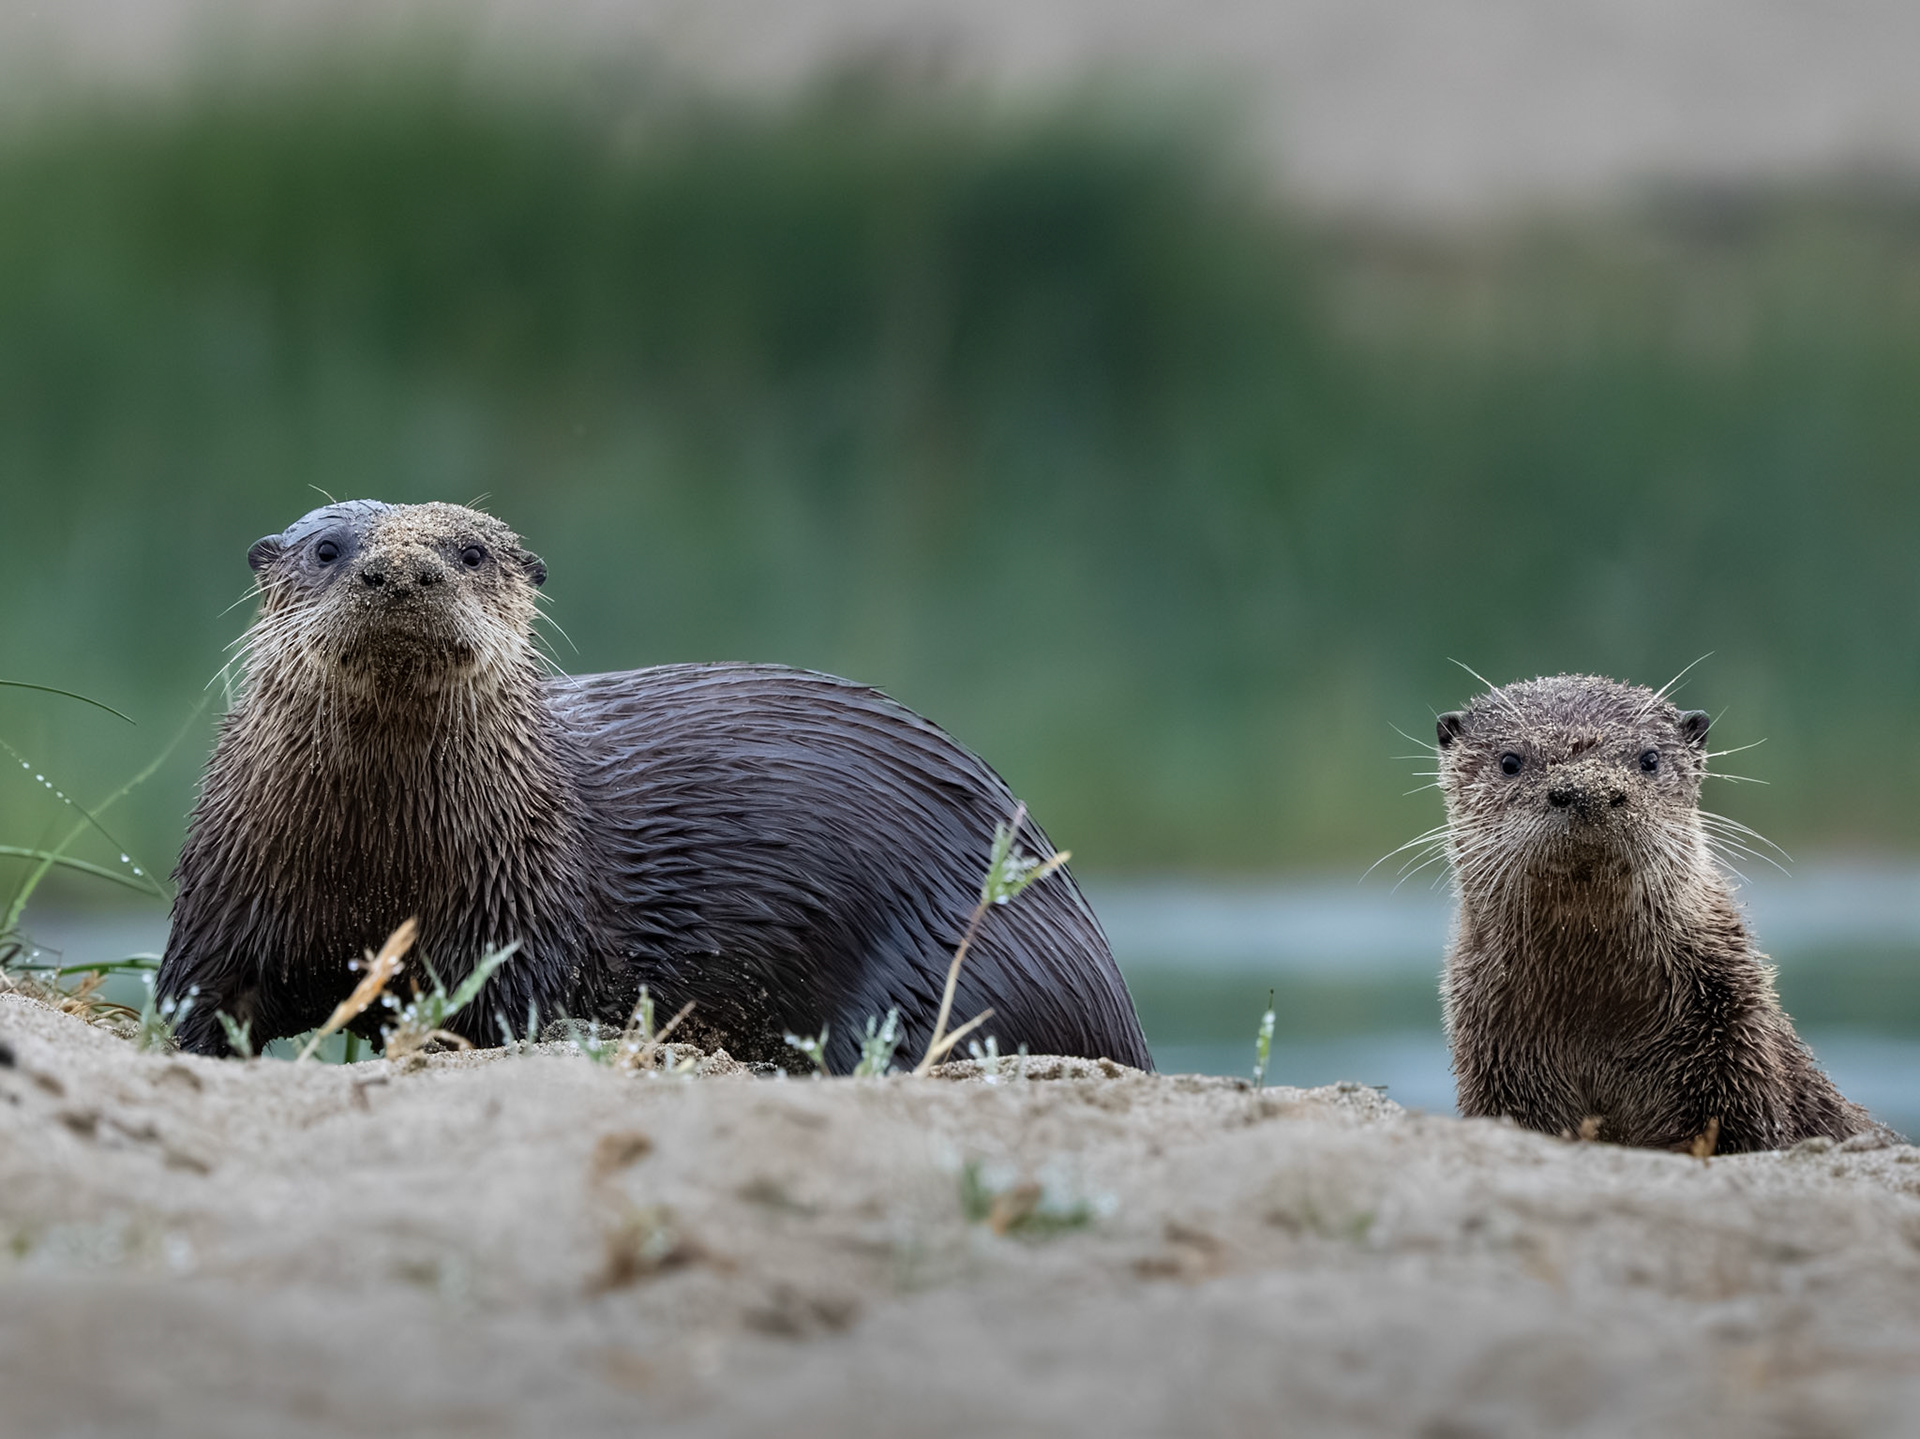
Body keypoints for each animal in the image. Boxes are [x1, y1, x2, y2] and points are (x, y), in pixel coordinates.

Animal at [154, 500, 1152, 1072]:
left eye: (470, 550)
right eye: (327, 547)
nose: (402, 567)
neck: (375, 864)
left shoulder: (517, 926)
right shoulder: (224, 901)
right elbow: (195, 1004)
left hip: (963, 963)